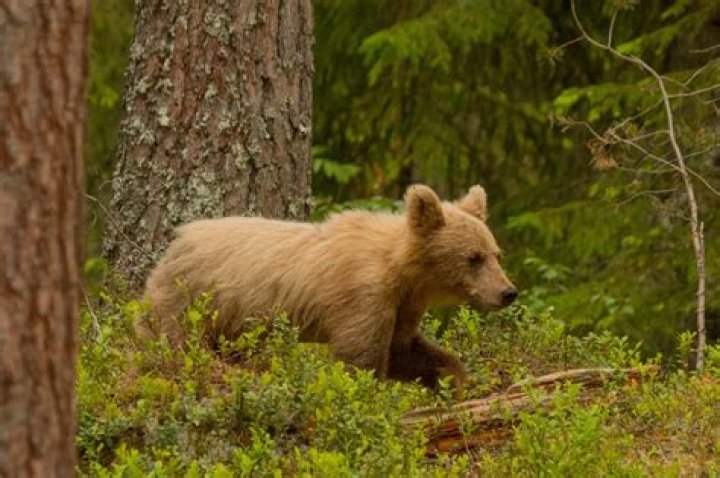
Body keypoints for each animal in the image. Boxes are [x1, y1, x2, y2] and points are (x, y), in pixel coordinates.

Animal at [139, 184, 517, 397]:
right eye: (473, 258)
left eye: (496, 253)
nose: (508, 292)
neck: (403, 272)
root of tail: (175, 243)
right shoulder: (362, 295)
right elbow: (360, 357)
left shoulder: (403, 305)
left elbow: (405, 350)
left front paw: (454, 382)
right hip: (188, 298)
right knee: (173, 341)